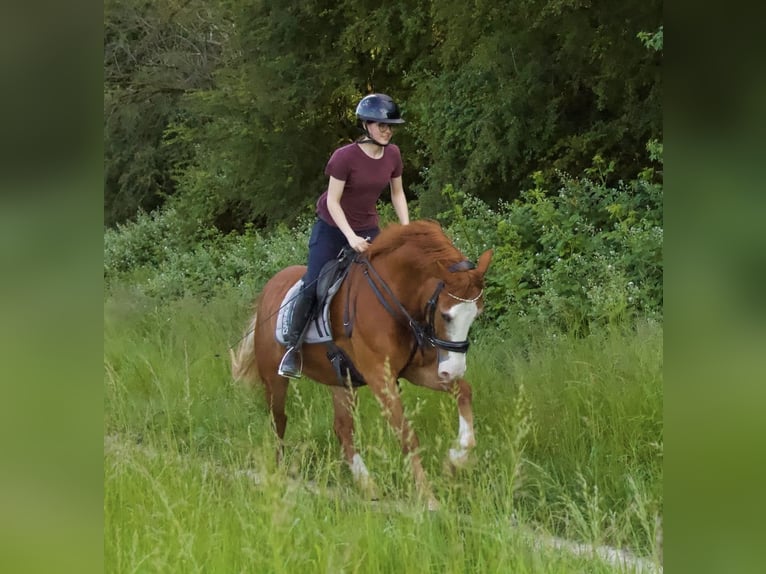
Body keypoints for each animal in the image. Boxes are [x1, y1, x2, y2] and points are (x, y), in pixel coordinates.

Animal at [231, 219, 492, 509]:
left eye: (476, 315)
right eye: (446, 315)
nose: (453, 369)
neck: (394, 297)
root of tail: (268, 289)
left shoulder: (415, 370)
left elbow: (464, 391)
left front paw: (456, 458)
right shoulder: (380, 377)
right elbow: (406, 435)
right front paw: (429, 498)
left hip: (341, 379)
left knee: (343, 429)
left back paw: (367, 485)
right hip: (274, 378)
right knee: (279, 420)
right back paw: (279, 474)